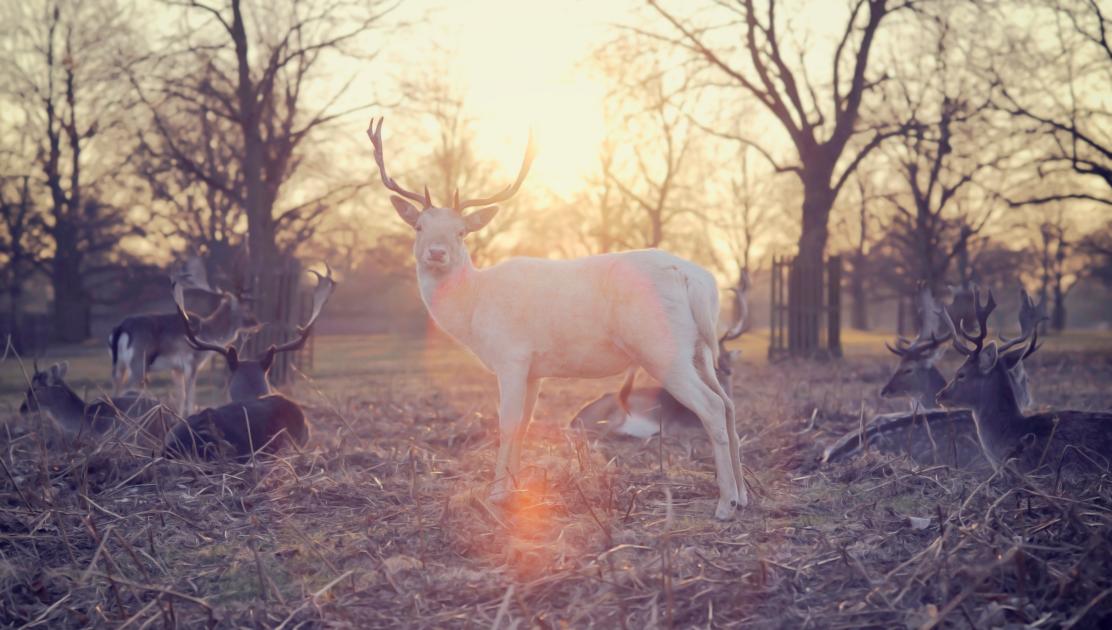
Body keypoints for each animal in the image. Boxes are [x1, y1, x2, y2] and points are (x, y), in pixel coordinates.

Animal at [366, 118, 747, 522]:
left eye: (462, 231)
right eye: (419, 227)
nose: (437, 253)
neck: (474, 308)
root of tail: (694, 279)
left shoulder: (511, 356)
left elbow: (507, 422)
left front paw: (496, 493)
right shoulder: (535, 369)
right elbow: (524, 425)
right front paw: (516, 488)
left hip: (661, 349)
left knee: (711, 406)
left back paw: (724, 505)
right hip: (699, 349)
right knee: (729, 404)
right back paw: (743, 497)